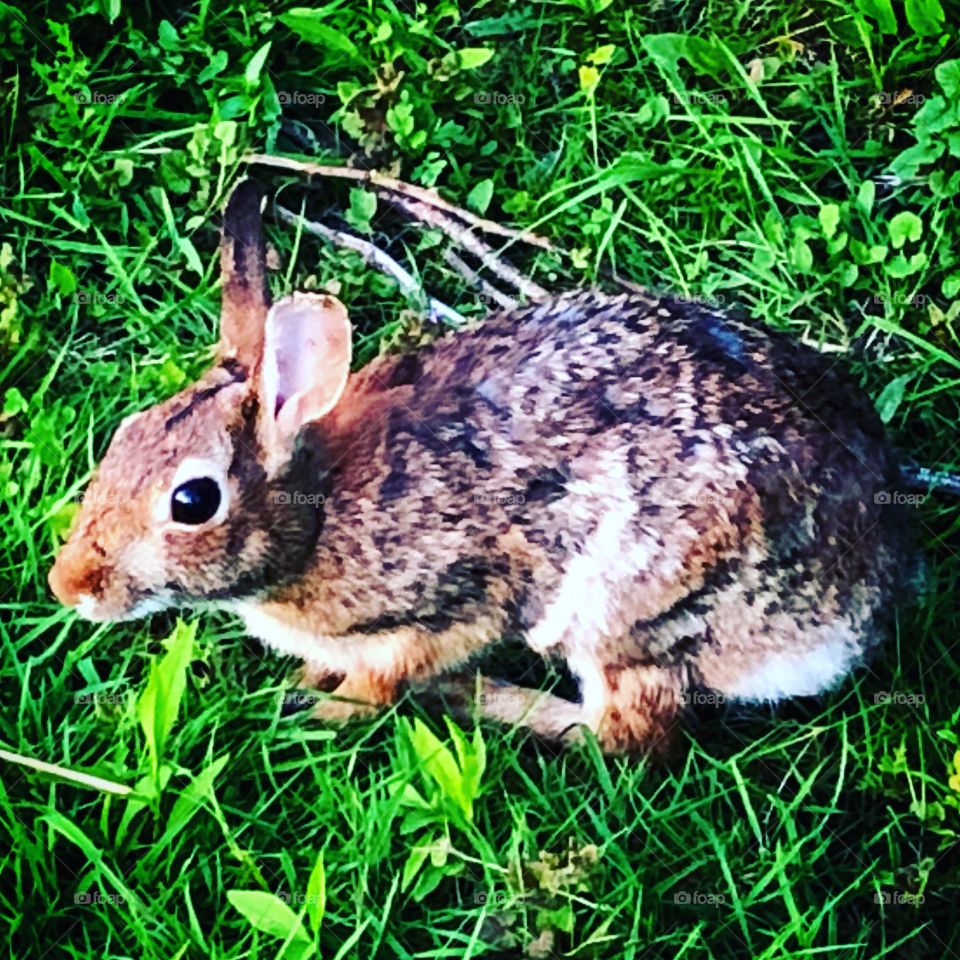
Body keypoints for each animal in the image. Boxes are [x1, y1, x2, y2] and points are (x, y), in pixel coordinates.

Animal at [49, 178, 917, 754]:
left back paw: (480, 698)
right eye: (124, 436)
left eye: (193, 501)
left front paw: (319, 707)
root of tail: (857, 608)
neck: (315, 514)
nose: (69, 585)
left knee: (626, 737)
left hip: (623, 615)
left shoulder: (441, 612)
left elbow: (383, 682)